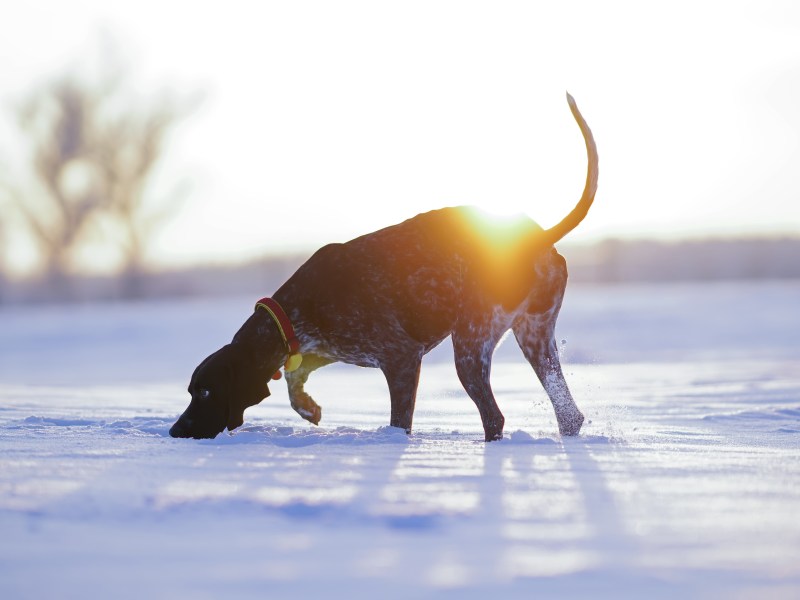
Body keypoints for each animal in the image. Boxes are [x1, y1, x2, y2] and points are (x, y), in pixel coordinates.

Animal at [169, 92, 596, 440]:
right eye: (192, 391)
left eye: (205, 391)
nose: (174, 430)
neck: (294, 312)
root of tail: (533, 238)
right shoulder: (322, 348)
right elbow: (293, 374)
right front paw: (307, 407)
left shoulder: (401, 358)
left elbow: (398, 421)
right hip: (534, 335)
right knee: (569, 416)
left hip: (471, 345)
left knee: (494, 417)